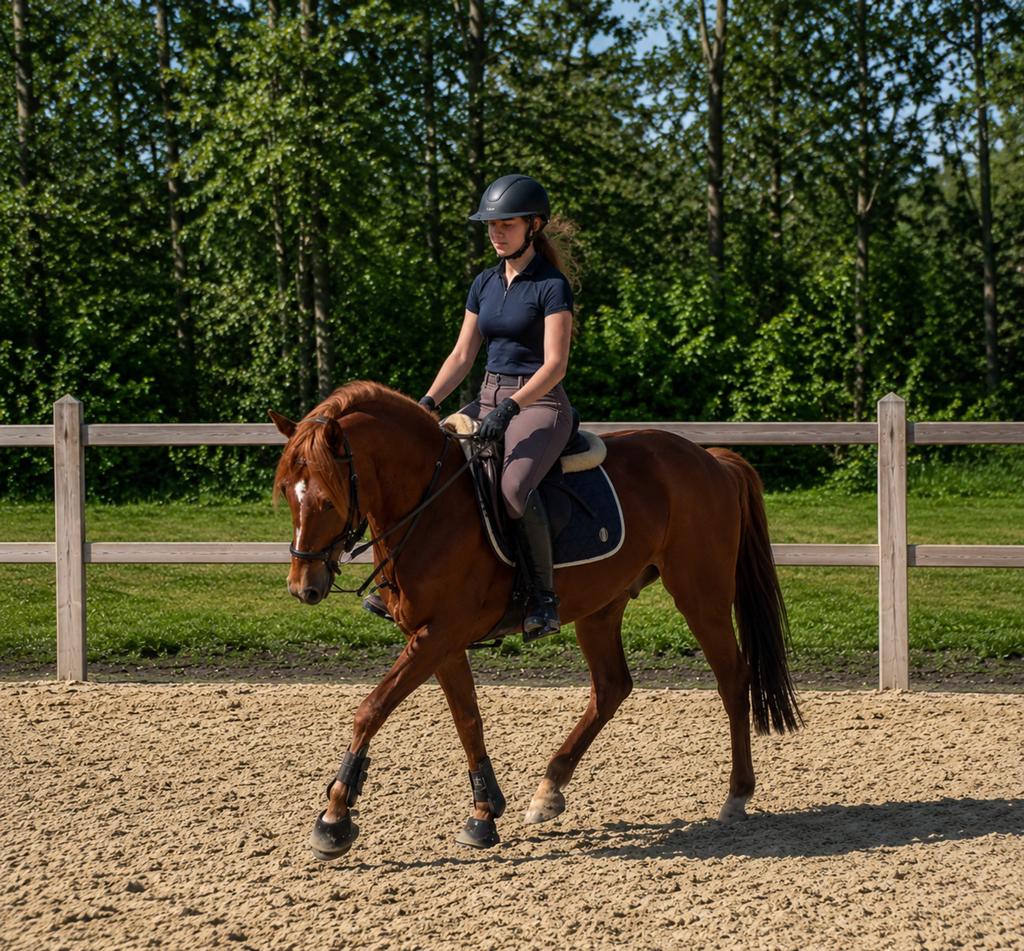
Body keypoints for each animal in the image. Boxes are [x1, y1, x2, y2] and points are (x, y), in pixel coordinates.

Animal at [270, 380, 801, 860]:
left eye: (327, 500)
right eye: (290, 498)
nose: (303, 587)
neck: (430, 504)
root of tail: (710, 459)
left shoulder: (440, 634)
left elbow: (372, 709)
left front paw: (334, 819)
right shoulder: (440, 638)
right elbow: (468, 720)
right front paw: (484, 815)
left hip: (700, 594)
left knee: (732, 678)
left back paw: (736, 795)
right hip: (601, 604)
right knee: (611, 687)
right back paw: (549, 790)